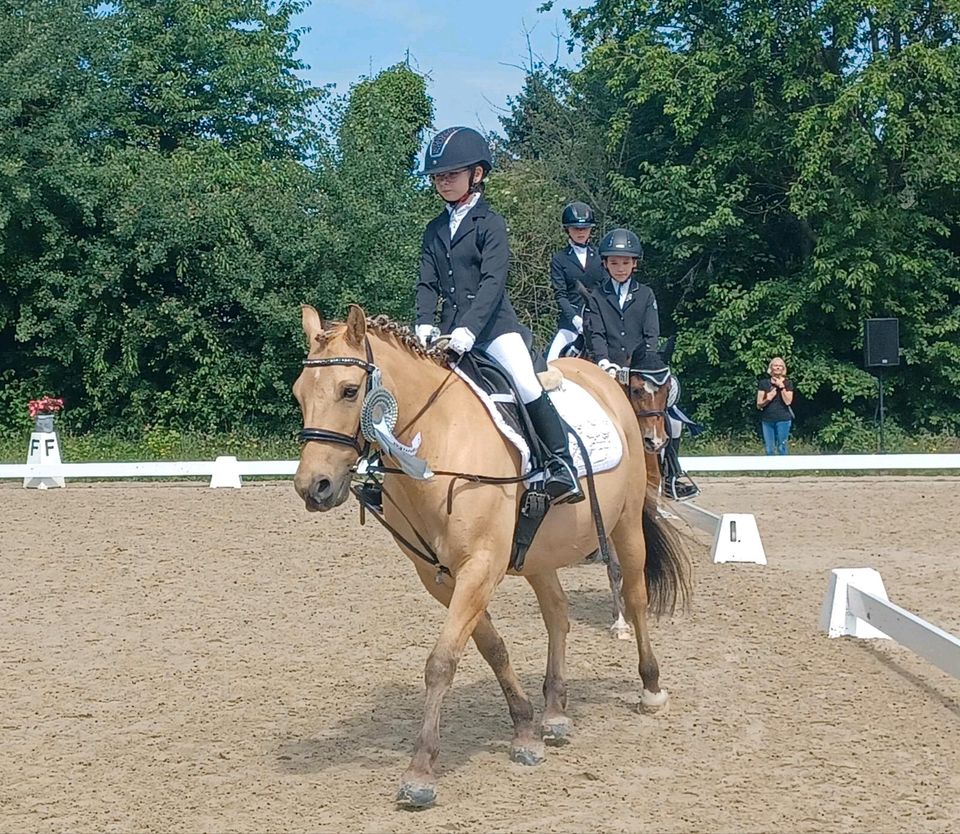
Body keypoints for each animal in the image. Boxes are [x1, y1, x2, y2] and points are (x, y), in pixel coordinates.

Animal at [292, 304, 688, 808]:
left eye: (348, 390)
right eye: (299, 393)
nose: (314, 487)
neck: (436, 445)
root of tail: (603, 378)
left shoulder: (479, 567)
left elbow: (442, 660)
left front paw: (420, 772)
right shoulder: (440, 576)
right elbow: (491, 647)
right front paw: (524, 729)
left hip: (625, 523)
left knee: (635, 598)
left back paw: (651, 688)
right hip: (539, 552)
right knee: (558, 614)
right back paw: (555, 713)